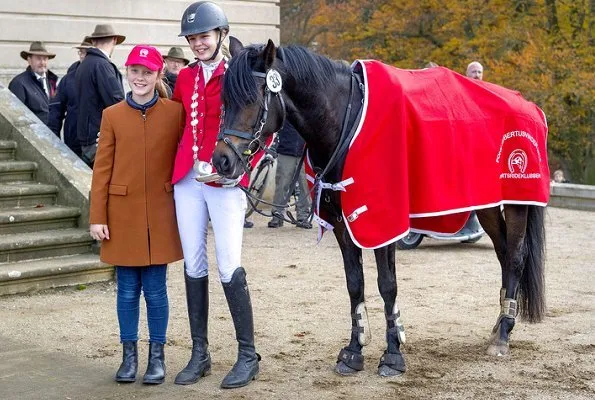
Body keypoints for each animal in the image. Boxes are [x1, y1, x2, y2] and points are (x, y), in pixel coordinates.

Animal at [212, 38, 548, 378]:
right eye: (225, 99)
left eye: (252, 99)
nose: (221, 160)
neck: (345, 122)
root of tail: (529, 106)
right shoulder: (342, 223)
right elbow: (354, 283)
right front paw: (354, 350)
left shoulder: (385, 222)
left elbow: (387, 286)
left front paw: (393, 354)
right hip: (487, 205)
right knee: (503, 254)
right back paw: (499, 326)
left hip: (517, 202)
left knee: (515, 258)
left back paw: (503, 334)